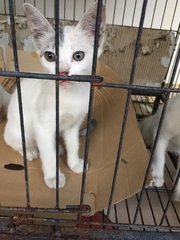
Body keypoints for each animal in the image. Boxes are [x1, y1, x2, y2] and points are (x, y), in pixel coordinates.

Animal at [3, 2, 105, 188]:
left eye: (78, 56)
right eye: (50, 56)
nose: (63, 72)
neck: (69, 96)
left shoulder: (73, 124)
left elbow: (73, 144)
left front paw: (75, 164)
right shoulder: (43, 127)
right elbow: (48, 155)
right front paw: (53, 178)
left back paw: (59, 148)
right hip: (19, 130)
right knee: (16, 142)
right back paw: (30, 151)